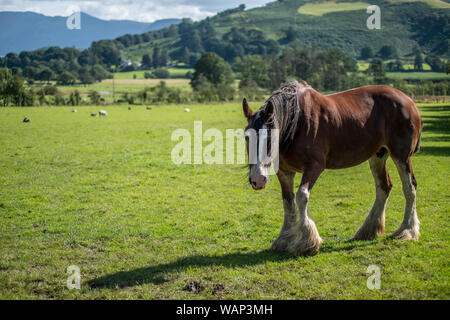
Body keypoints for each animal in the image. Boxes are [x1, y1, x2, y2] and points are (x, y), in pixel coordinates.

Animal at [243, 81, 422, 256]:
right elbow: (288, 201)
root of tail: (408, 100)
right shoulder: (285, 172)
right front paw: (284, 240)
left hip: (402, 156)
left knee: (410, 187)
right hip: (378, 155)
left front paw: (307, 243)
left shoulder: (314, 167)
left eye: (270, 137)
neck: (297, 123)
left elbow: (302, 196)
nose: (258, 179)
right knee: (383, 188)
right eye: (246, 137)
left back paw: (407, 230)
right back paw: (369, 230)